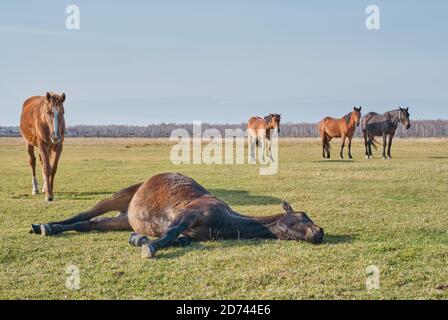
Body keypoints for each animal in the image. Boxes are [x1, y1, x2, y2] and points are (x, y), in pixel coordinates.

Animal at [32, 171, 326, 258]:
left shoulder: (189, 231)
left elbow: (178, 239)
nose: (320, 232)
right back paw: (44, 225)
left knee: (88, 224)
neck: (222, 221)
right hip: (117, 197)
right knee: (85, 213)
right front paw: (148, 247)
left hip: (121, 219)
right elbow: (170, 234)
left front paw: (139, 239)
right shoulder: (187, 215)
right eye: (303, 216)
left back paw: (52, 228)